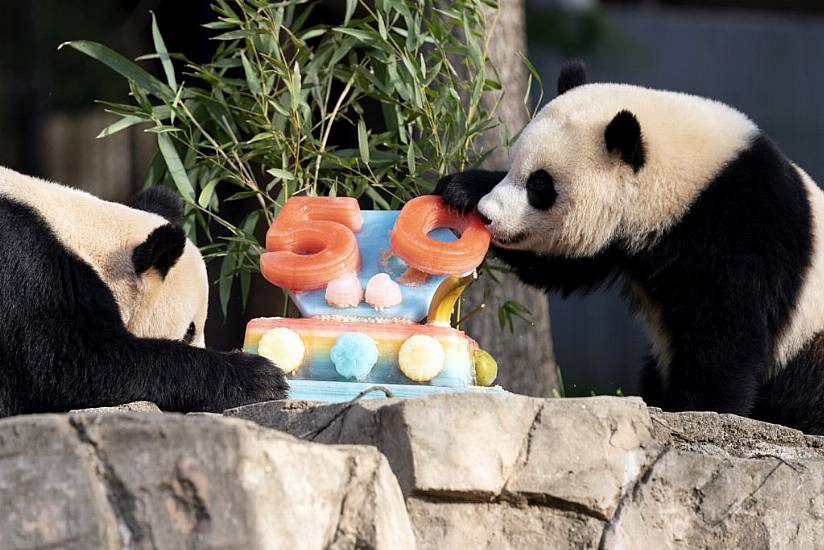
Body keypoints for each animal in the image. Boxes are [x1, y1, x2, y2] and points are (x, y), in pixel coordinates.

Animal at [440, 59, 824, 432]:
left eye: (539, 185)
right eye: (512, 167)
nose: (488, 215)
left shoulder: (741, 223)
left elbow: (728, 329)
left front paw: (699, 410)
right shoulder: (623, 241)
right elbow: (563, 264)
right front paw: (460, 189)